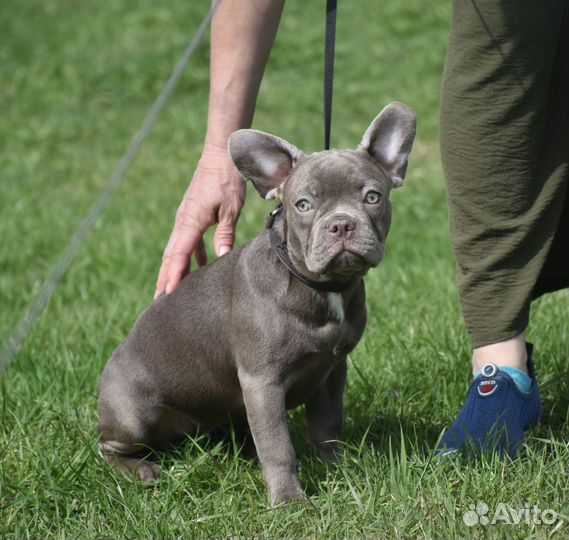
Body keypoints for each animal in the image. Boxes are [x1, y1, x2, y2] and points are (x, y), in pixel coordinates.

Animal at [97, 101, 414, 506]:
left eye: (373, 197)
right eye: (303, 205)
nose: (341, 224)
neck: (320, 287)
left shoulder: (332, 370)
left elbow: (326, 425)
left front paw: (337, 467)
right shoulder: (263, 383)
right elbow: (278, 446)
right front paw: (289, 500)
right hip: (134, 413)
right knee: (109, 446)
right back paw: (137, 469)